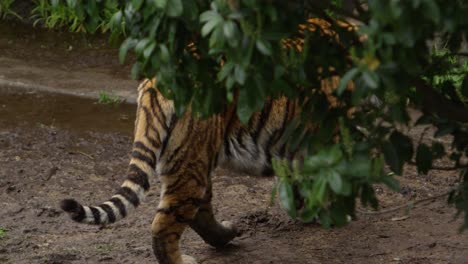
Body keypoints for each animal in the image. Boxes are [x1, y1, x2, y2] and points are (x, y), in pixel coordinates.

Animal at [61, 19, 354, 264]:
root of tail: (155, 83)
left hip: (193, 158)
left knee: (199, 212)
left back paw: (228, 234)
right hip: (191, 167)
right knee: (165, 224)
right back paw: (185, 260)